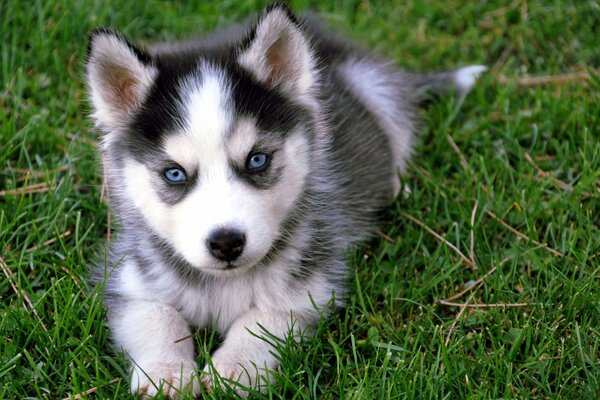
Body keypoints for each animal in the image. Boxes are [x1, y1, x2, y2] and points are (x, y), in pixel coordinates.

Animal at [85, 3, 488, 396]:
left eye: (257, 160)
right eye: (174, 174)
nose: (226, 243)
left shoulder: (311, 284)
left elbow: (263, 318)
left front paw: (234, 369)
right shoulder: (128, 276)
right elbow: (156, 315)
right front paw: (166, 373)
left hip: (377, 89)